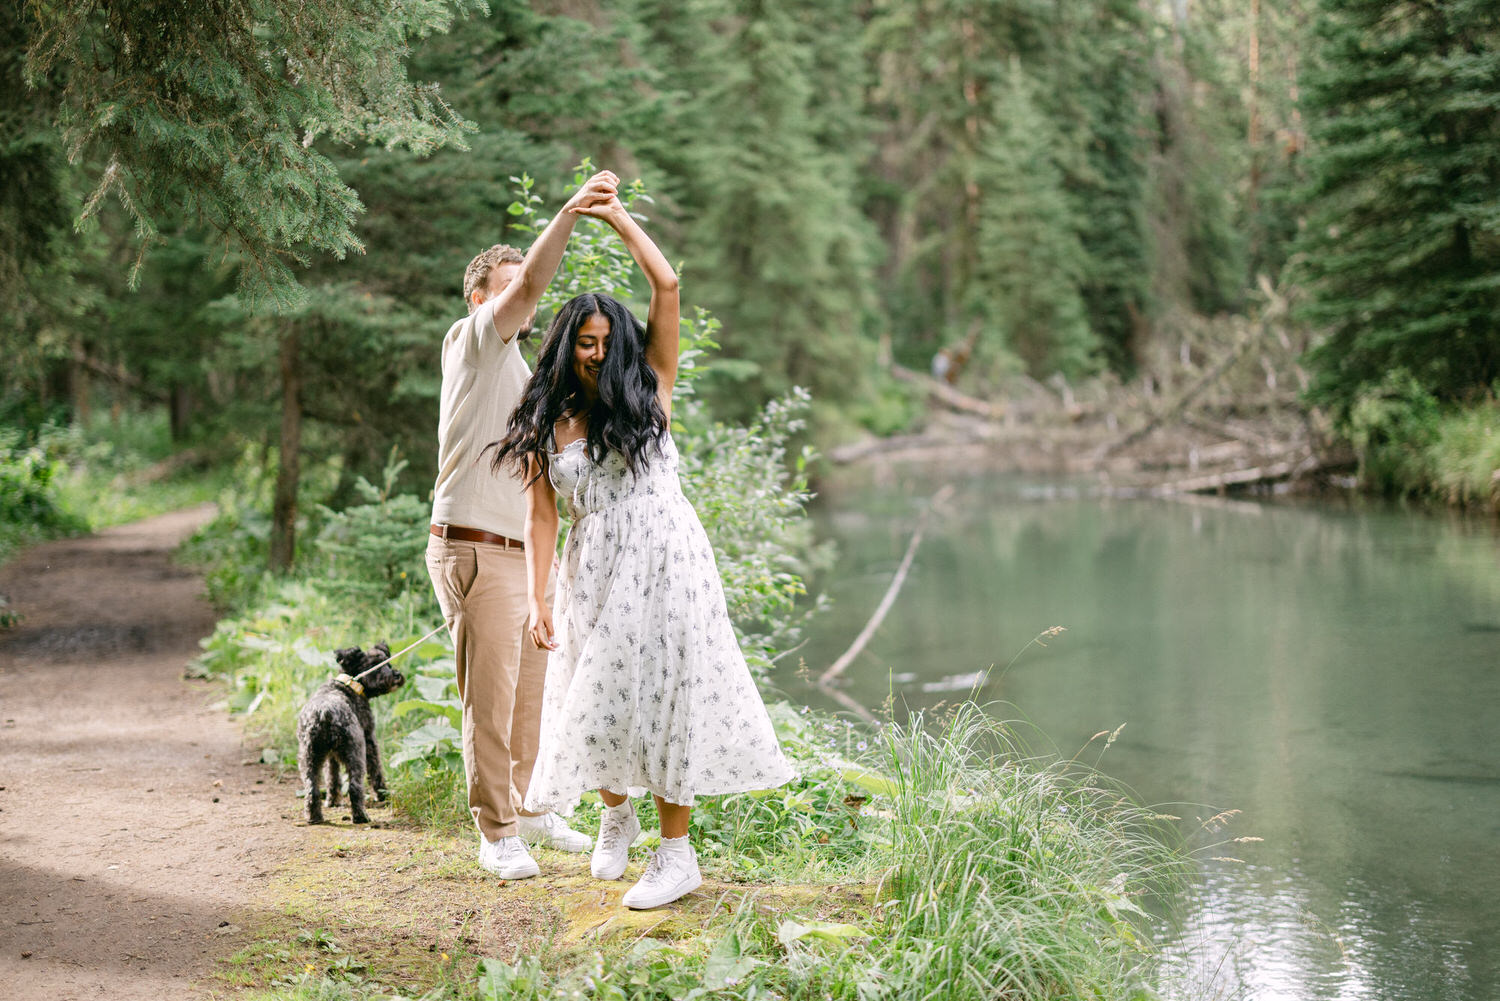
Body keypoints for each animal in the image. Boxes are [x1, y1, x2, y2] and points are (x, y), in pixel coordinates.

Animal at [295, 645, 405, 828]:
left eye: (387, 663)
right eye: (374, 665)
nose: (396, 675)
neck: (350, 684)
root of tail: (324, 713)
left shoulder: (331, 755)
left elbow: (332, 777)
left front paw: (332, 801)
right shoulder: (369, 740)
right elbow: (376, 771)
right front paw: (383, 794)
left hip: (309, 757)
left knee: (312, 788)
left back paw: (314, 817)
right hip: (355, 752)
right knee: (355, 786)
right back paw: (361, 816)